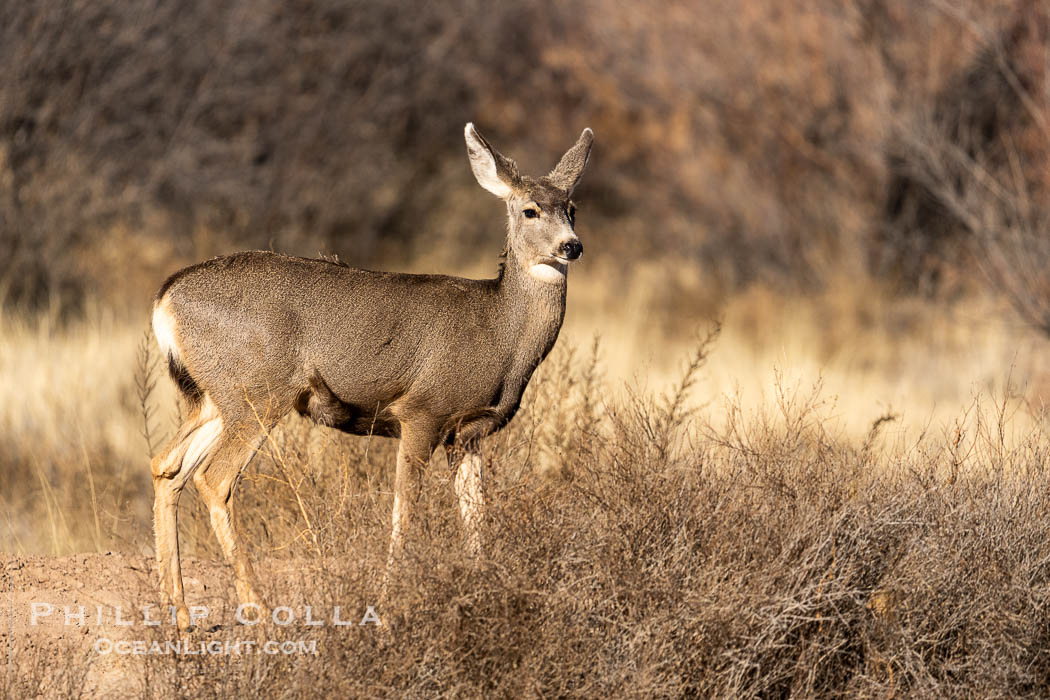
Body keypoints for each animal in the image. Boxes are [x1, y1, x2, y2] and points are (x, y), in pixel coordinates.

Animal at [148, 123, 596, 633]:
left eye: (573, 208)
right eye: (530, 209)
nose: (572, 246)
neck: (498, 333)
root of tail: (165, 299)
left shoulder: (468, 432)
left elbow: (475, 516)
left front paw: (485, 591)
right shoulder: (423, 411)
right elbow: (405, 510)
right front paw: (385, 604)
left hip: (213, 397)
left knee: (166, 466)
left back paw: (180, 613)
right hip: (258, 391)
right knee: (214, 477)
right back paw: (257, 608)